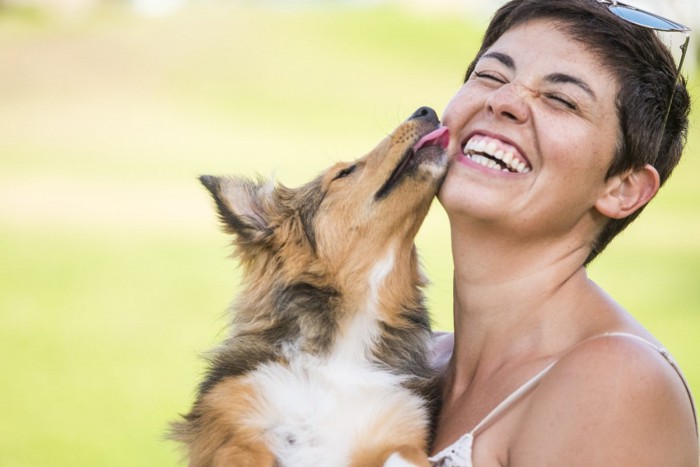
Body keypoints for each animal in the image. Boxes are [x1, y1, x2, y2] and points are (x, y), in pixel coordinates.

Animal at [172, 107, 452, 467]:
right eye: (345, 172)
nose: (426, 110)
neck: (341, 354)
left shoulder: (398, 428)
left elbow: (404, 454)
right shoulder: (235, 431)